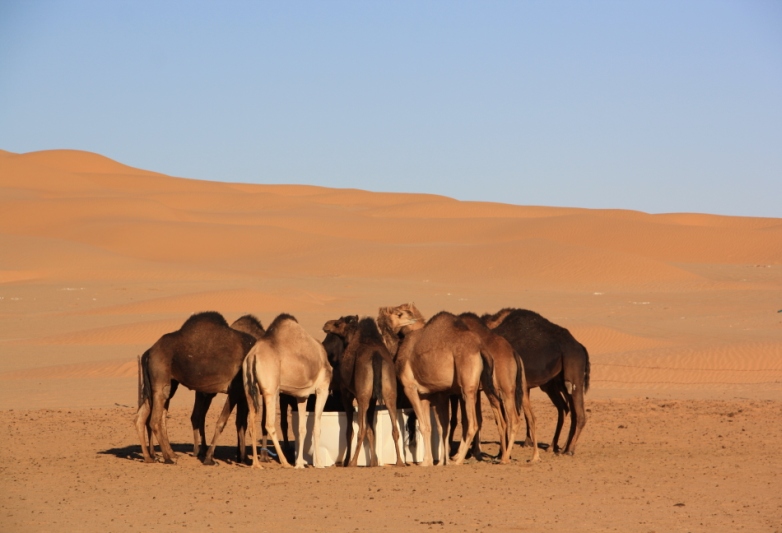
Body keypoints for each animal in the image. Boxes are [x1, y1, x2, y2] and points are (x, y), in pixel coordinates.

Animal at [135, 310, 256, 464]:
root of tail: (149, 352)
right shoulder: (236, 390)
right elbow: (223, 422)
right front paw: (210, 459)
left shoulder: (243, 395)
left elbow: (241, 423)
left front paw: (243, 458)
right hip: (160, 379)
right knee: (155, 419)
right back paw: (167, 458)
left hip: (159, 384)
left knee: (142, 417)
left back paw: (152, 456)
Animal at [243, 314, 332, 468]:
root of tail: (252, 356)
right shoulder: (323, 388)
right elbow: (316, 427)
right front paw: (319, 463)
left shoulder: (302, 395)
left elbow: (302, 429)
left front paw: (300, 464)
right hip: (271, 391)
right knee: (269, 424)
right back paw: (284, 462)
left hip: (248, 389)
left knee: (252, 425)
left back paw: (256, 464)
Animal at [324, 316, 408, 466]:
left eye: (338, 323)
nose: (326, 325)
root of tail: (376, 357)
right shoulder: (373, 399)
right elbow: (371, 430)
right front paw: (373, 462)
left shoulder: (346, 392)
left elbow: (350, 430)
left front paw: (346, 461)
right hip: (389, 391)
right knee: (394, 428)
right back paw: (399, 462)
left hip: (362, 396)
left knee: (361, 429)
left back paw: (352, 462)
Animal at [480, 308, 592, 454]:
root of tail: (581, 347)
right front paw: (525, 443)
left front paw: (502, 451)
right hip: (554, 384)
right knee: (566, 409)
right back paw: (556, 447)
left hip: (573, 375)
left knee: (578, 413)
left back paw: (569, 450)